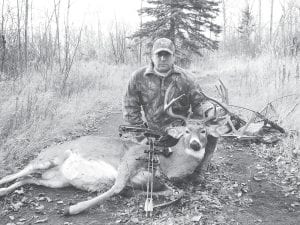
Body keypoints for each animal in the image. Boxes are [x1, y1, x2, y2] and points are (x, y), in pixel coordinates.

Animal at [0, 81, 230, 215]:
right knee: (19, 172)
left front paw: (135, 193)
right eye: (186, 131)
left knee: (28, 179)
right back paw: (3, 188)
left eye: (204, 131)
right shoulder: (129, 158)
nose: (195, 144)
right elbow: (116, 187)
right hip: (49, 157)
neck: (168, 164)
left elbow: (175, 192)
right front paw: (73, 209)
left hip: (56, 180)